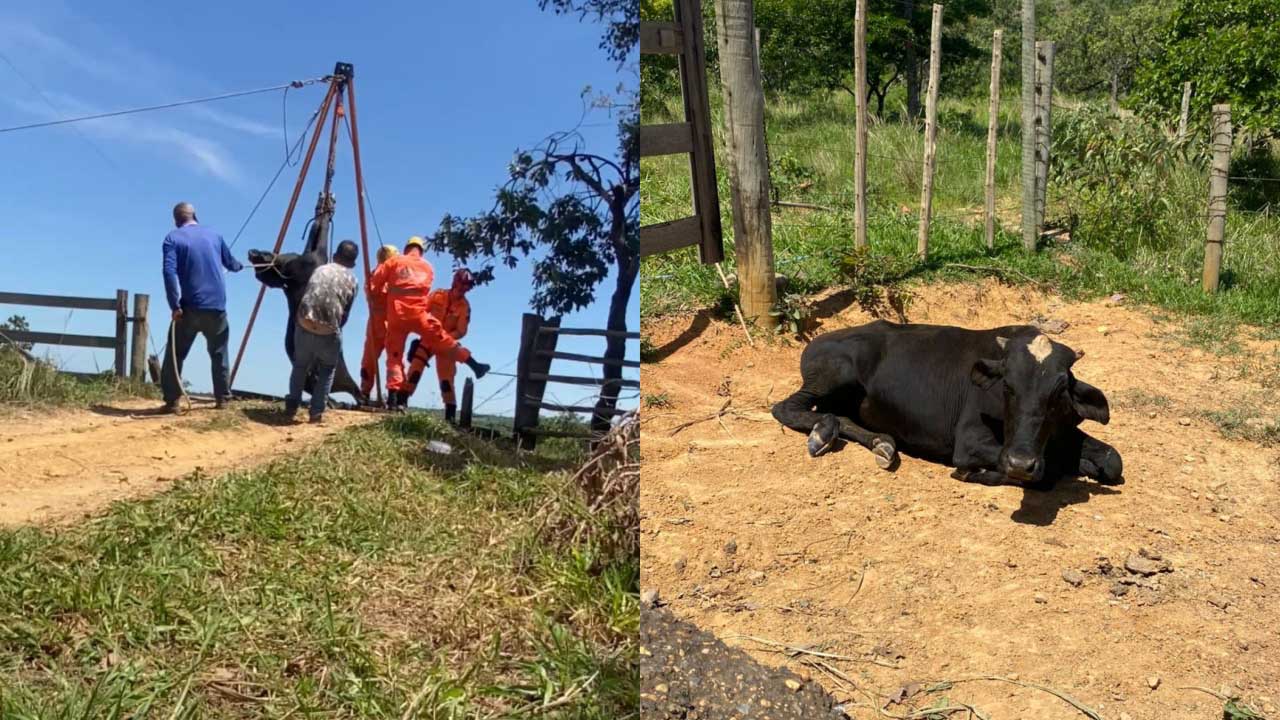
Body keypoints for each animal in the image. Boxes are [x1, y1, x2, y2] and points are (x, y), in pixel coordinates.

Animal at [768, 320, 1121, 484]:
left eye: (1059, 391)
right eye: (1008, 385)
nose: (1021, 462)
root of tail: (816, 341)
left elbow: (1112, 461)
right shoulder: (969, 442)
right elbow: (1047, 472)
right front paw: (974, 474)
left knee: (843, 417)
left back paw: (882, 443)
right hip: (833, 375)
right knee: (786, 407)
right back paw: (822, 432)